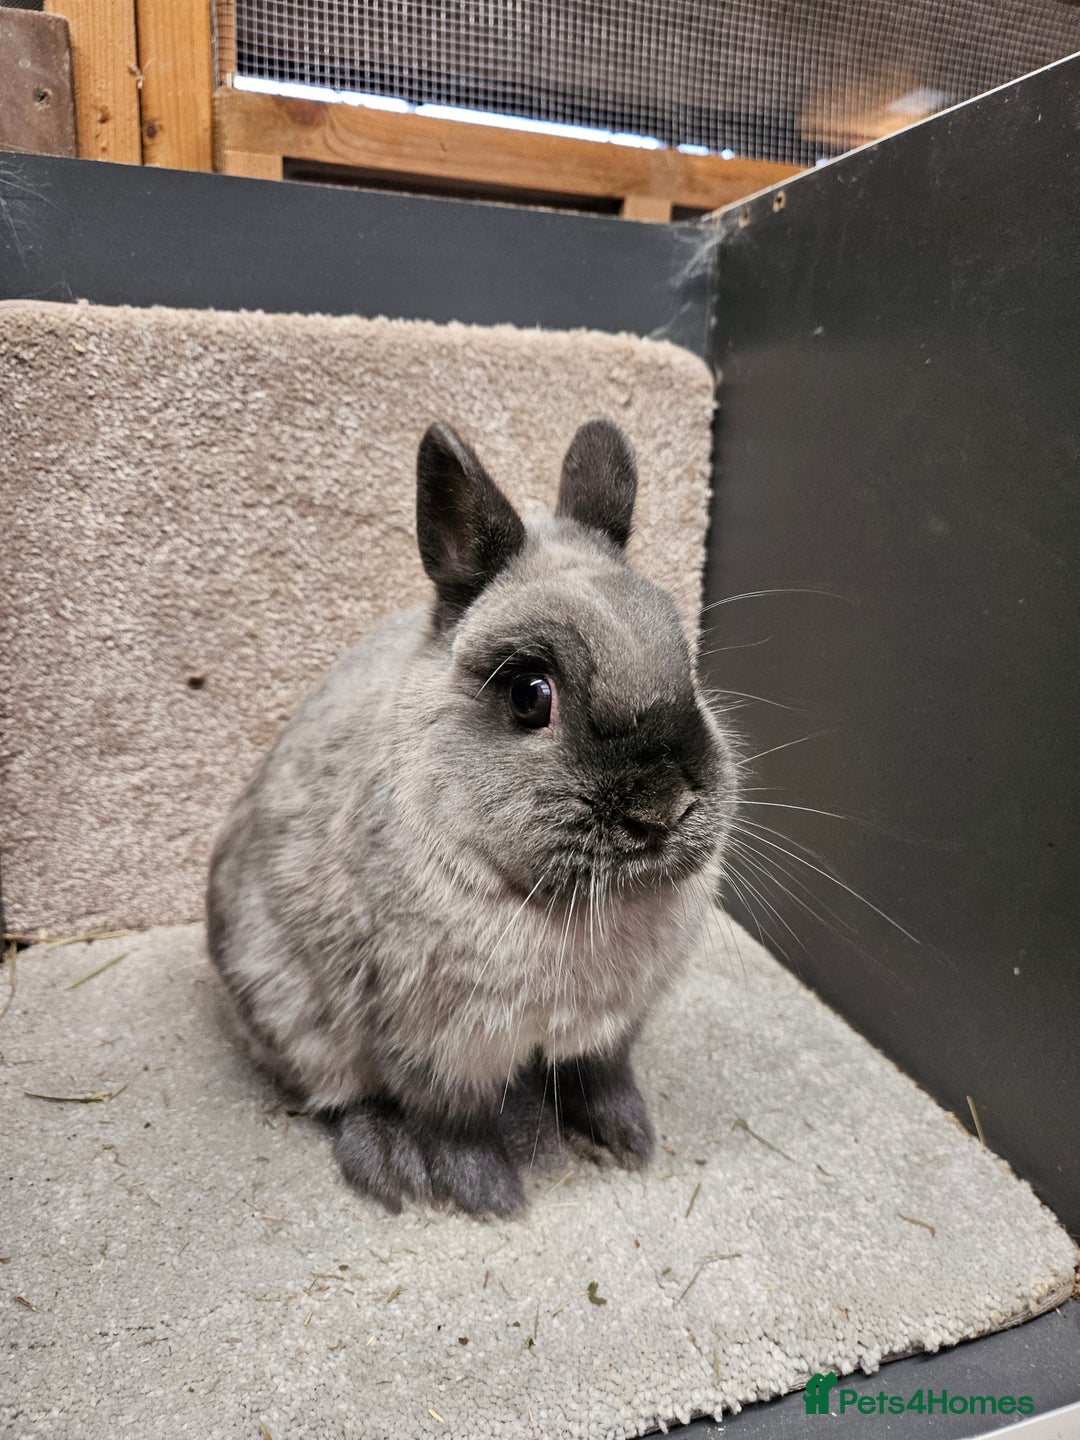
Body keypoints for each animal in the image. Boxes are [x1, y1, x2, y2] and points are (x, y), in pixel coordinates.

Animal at [206, 418, 738, 1218]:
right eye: (529, 695)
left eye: (690, 668)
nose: (662, 810)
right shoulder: (433, 1040)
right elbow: (454, 1123)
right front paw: (489, 1196)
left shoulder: (613, 1028)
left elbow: (603, 1078)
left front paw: (629, 1141)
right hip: (289, 1010)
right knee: (339, 1095)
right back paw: (385, 1165)